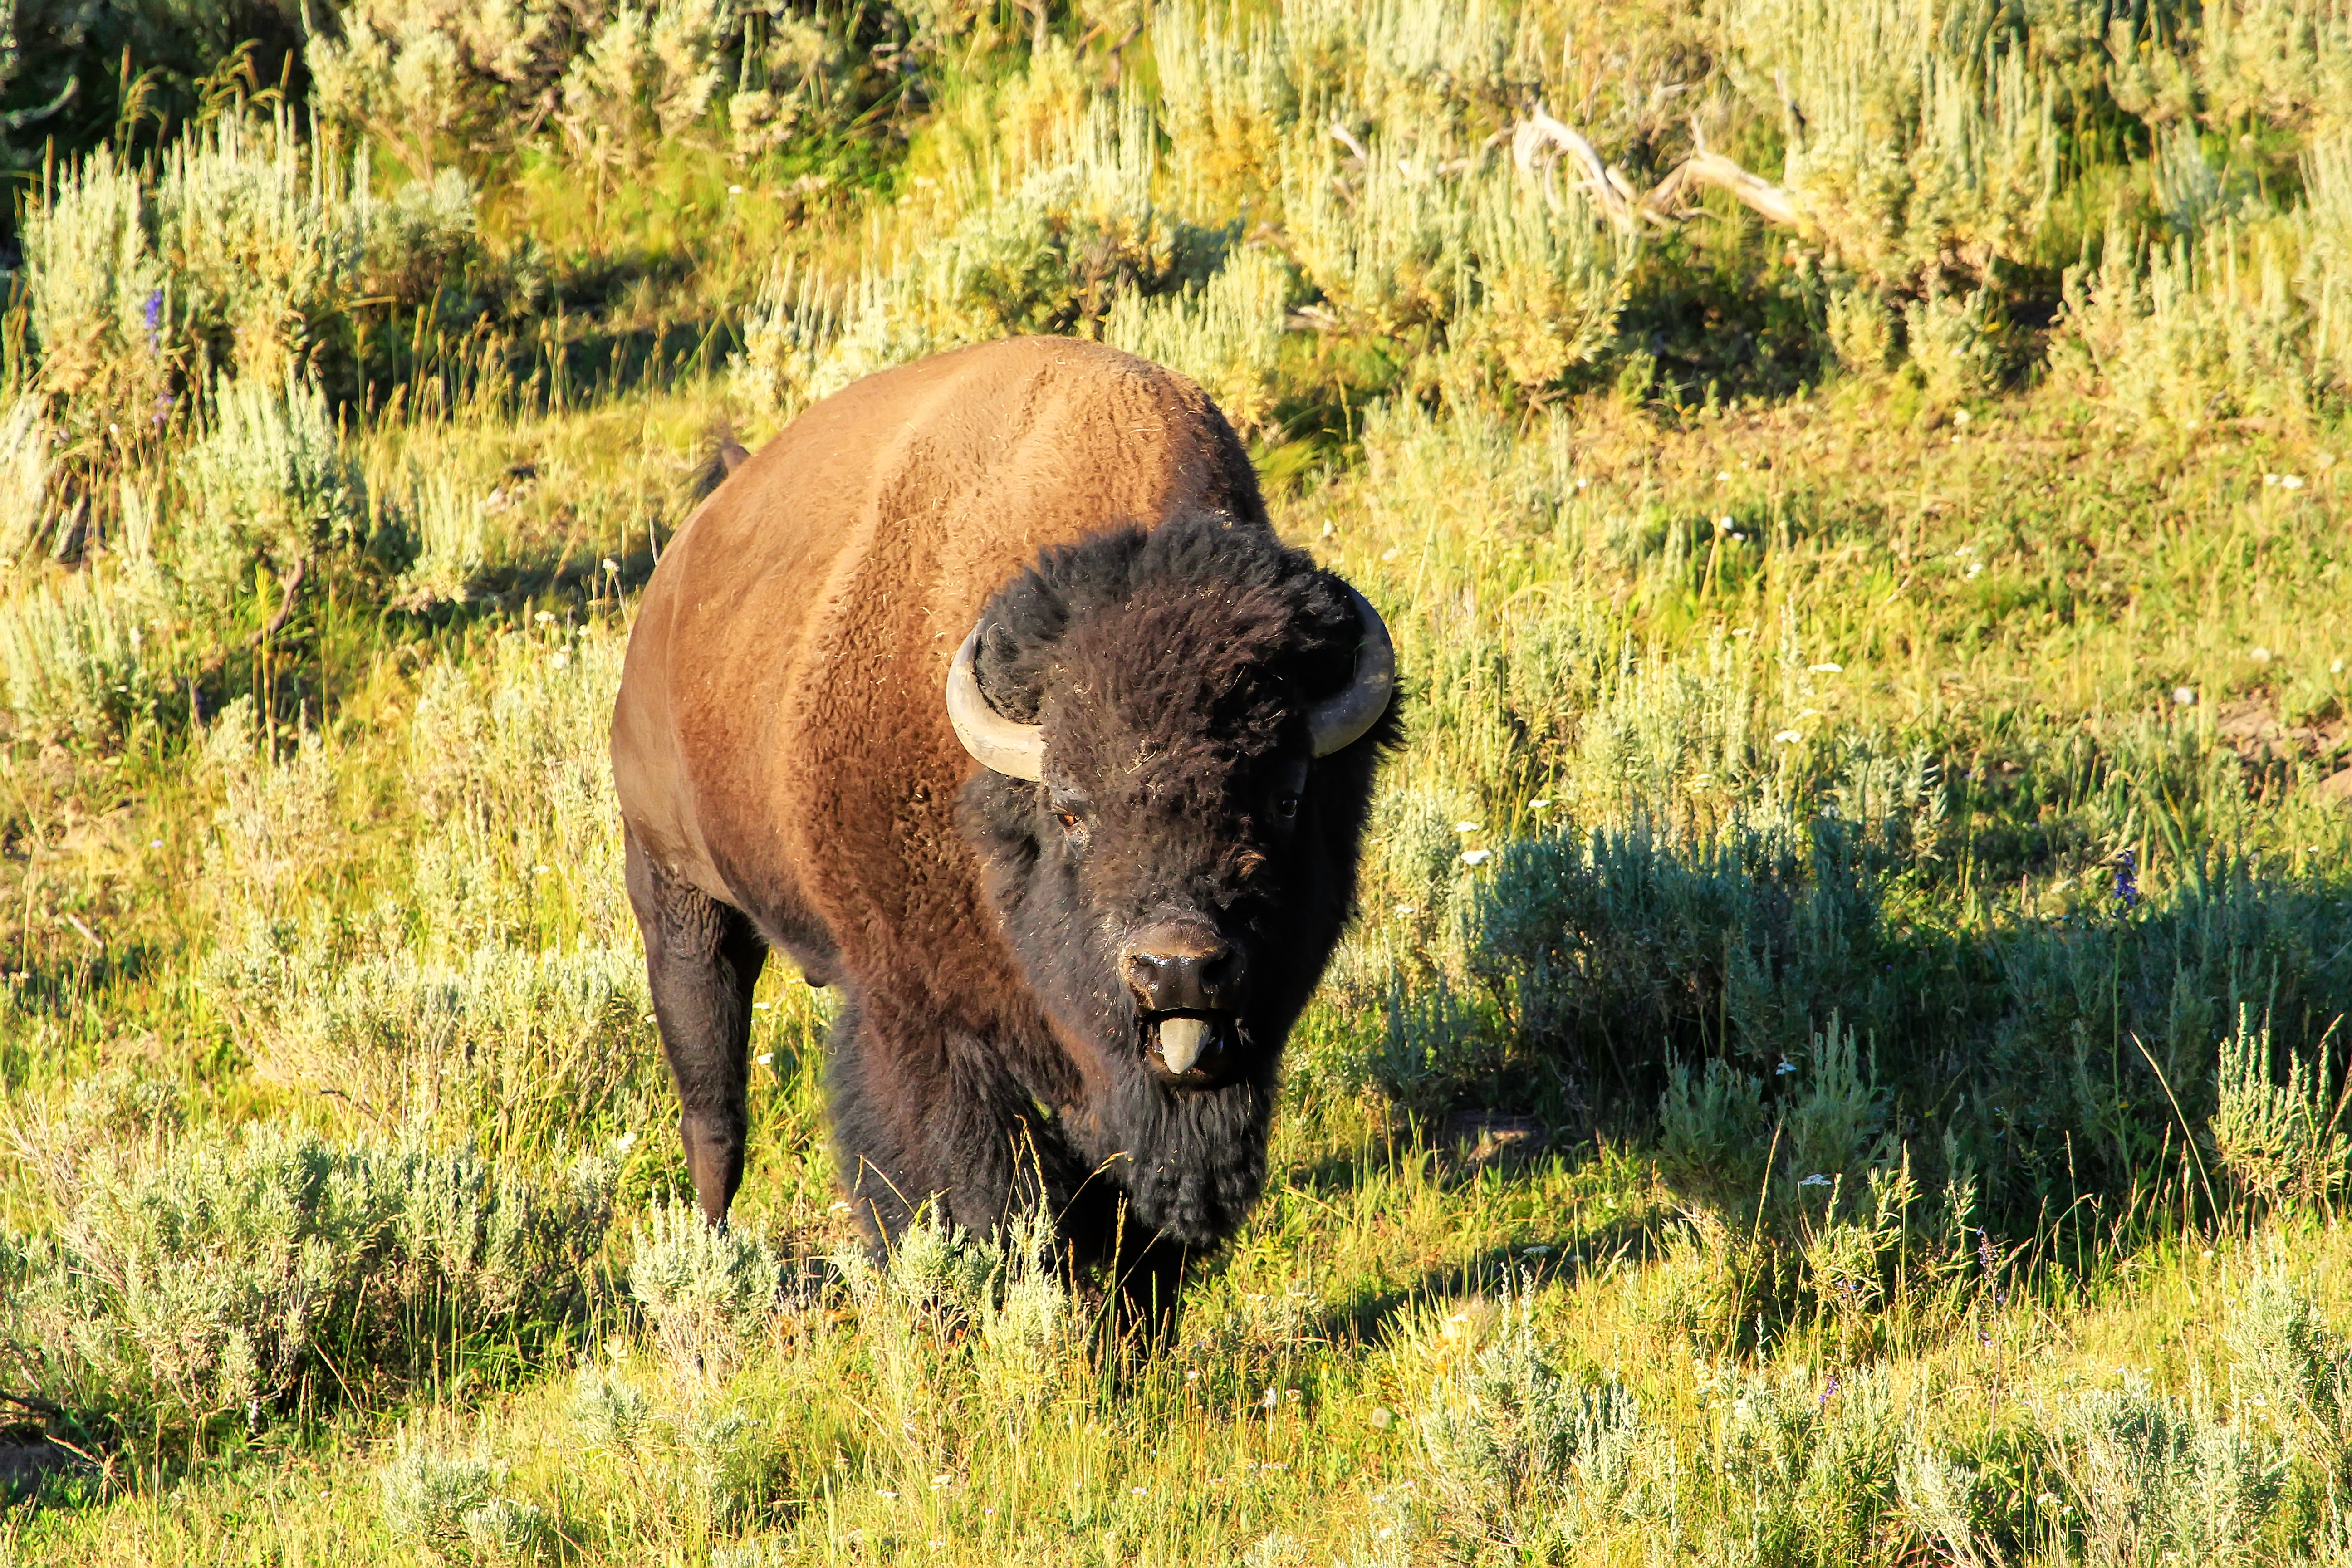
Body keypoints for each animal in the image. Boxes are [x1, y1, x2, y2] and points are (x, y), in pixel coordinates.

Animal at [610, 337, 1396, 1298]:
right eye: (1067, 809)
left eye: (1285, 796)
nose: (1176, 969)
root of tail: (683, 560)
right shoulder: (921, 1019)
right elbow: (978, 1198)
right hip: (676, 895)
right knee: (713, 1106)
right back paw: (713, 1256)